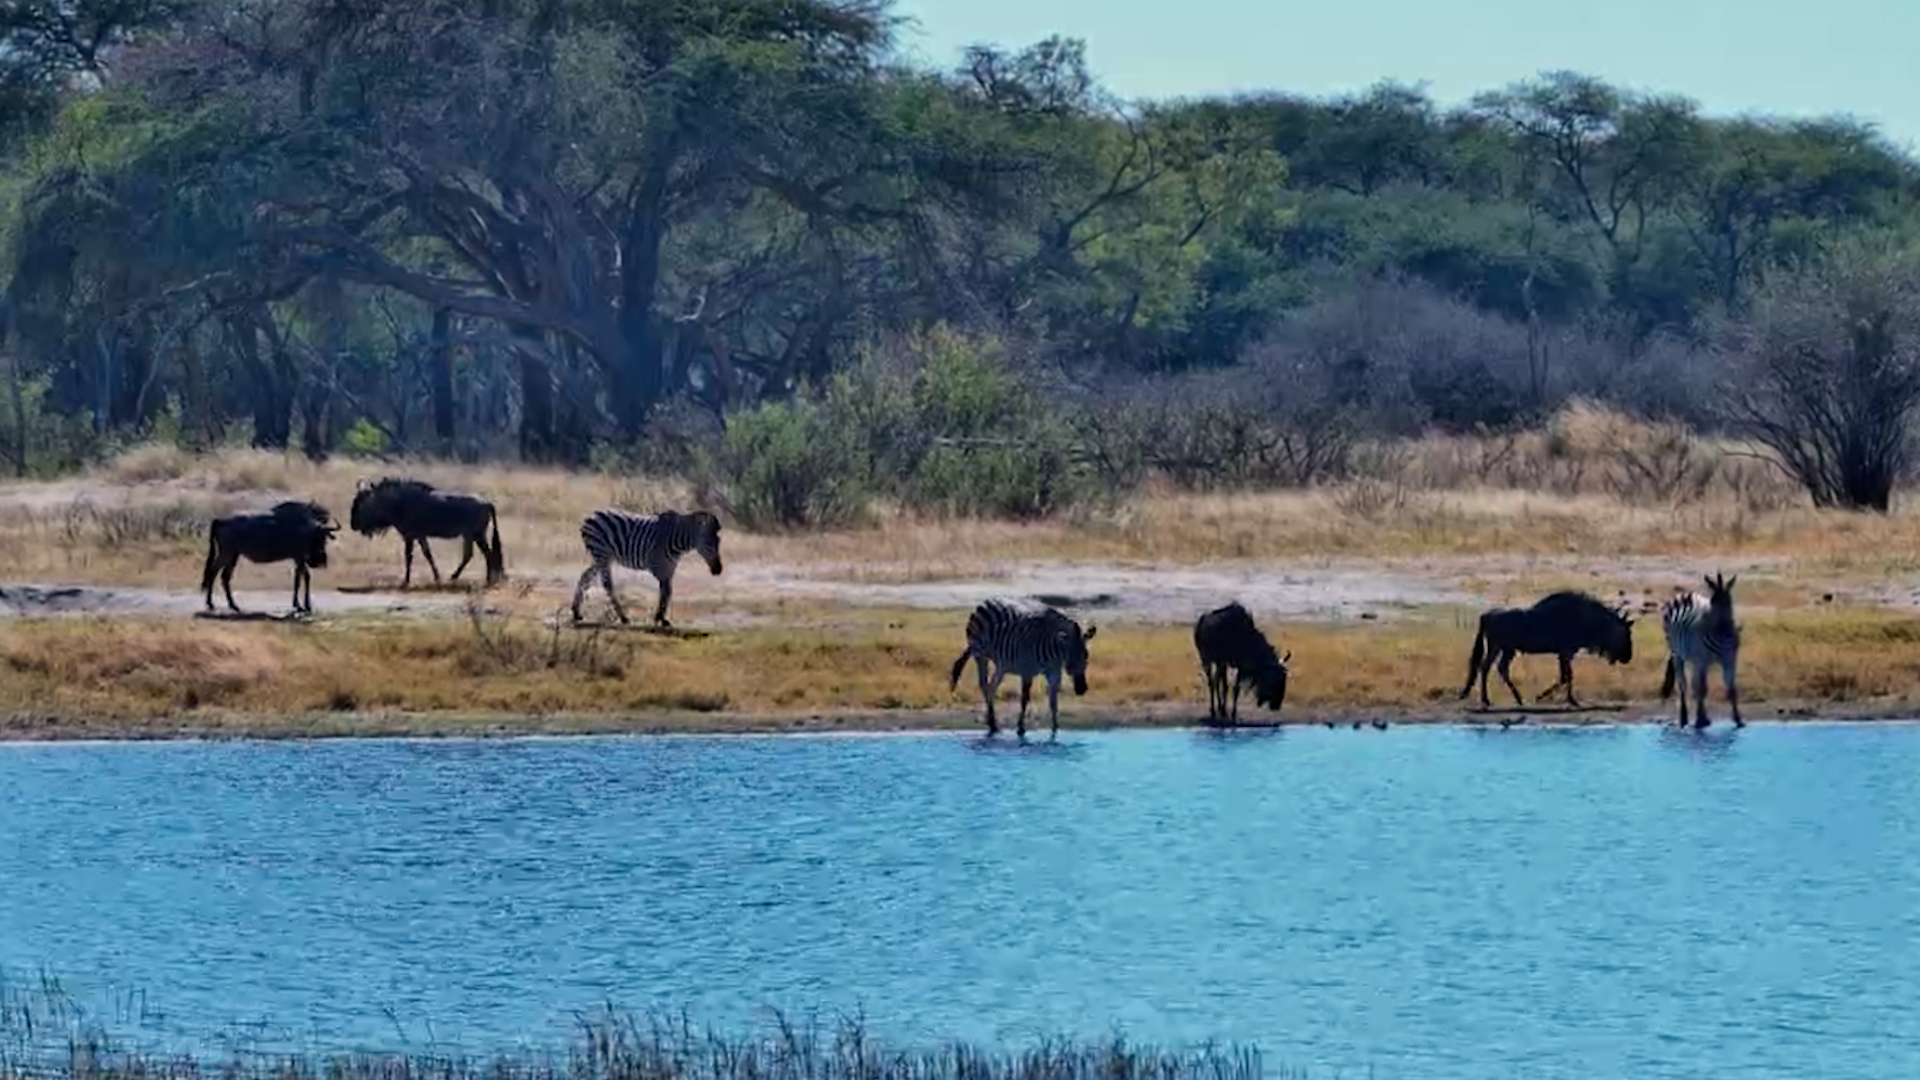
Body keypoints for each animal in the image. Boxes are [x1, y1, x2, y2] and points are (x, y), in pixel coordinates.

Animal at [569, 508, 724, 629]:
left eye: (718, 542)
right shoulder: (659, 566)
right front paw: (660, 618)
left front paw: (662, 618)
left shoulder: (670, 567)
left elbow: (668, 591)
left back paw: (576, 612)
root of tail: (592, 515)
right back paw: (623, 617)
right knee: (607, 584)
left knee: (585, 577)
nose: (718, 570)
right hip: (602, 553)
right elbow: (666, 591)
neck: (677, 540)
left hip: (601, 557)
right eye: (709, 543)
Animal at [946, 598, 1098, 740]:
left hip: (1001, 664)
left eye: (1086, 656)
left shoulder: (1054, 672)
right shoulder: (1027, 671)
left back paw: (993, 723)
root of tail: (987, 601)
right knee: (984, 684)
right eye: (1070, 659)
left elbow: (1053, 702)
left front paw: (1055, 730)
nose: (1081, 689)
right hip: (980, 655)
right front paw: (1020, 729)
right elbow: (1024, 699)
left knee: (991, 687)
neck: (1055, 652)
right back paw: (992, 725)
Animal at [1659, 573, 1743, 730]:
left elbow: (1731, 689)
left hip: (1694, 659)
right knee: (1683, 684)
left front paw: (1738, 719)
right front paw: (1700, 721)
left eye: (1729, 602)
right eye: (1713, 602)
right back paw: (1684, 718)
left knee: (1693, 683)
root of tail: (1685, 594)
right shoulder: (1702, 660)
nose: (1727, 631)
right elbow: (1702, 689)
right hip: (1677, 654)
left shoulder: (1730, 660)